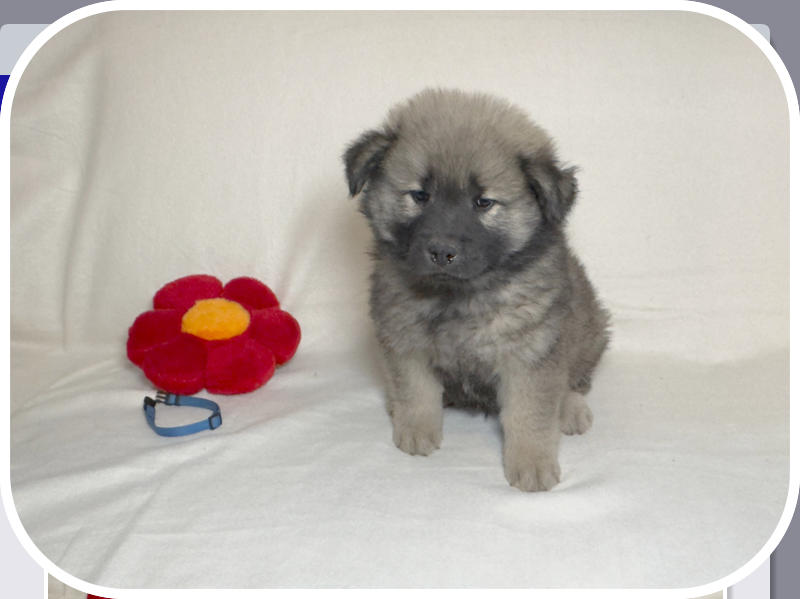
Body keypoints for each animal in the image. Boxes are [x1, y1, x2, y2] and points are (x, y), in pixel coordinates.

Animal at [343, 89, 610, 491]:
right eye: (420, 195)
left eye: (483, 202)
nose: (441, 251)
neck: (458, 296)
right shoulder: (404, 339)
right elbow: (416, 391)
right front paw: (416, 430)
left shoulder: (530, 353)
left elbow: (530, 415)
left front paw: (532, 463)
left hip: (591, 331)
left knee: (576, 381)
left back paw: (571, 409)